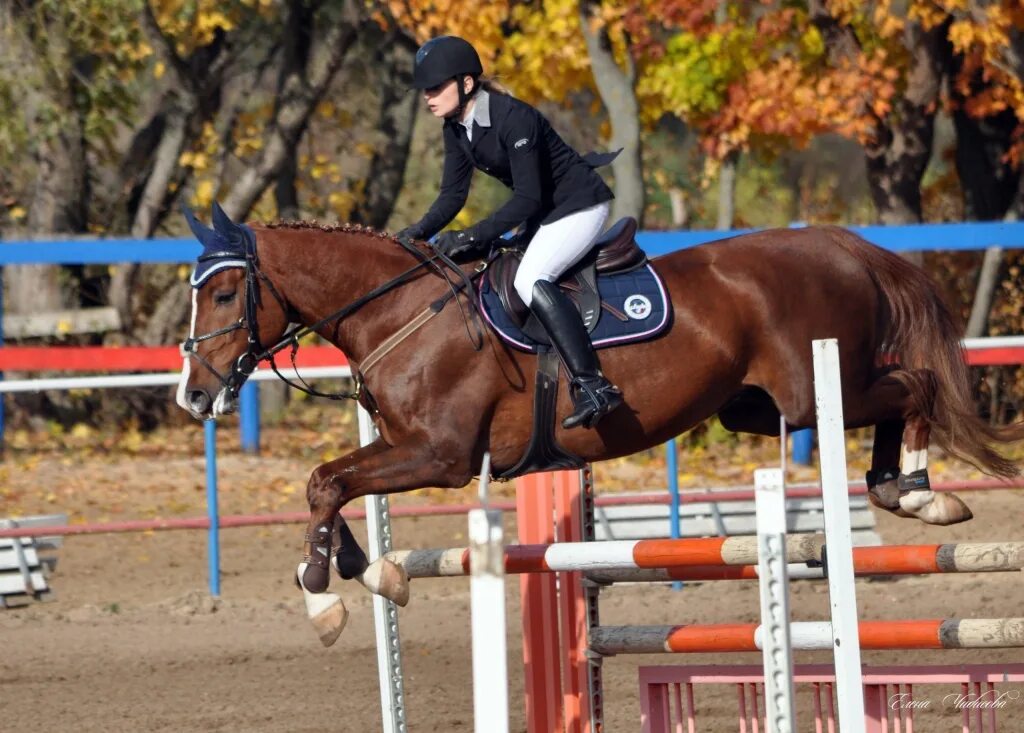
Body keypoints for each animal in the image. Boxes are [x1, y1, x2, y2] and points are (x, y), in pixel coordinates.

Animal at [178, 203, 1024, 642]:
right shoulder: (404, 447)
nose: (193, 394)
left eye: (221, 294)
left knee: (914, 384)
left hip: (815, 392)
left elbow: (325, 482)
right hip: (757, 408)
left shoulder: (439, 454)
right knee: (895, 398)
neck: (401, 310)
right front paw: (370, 570)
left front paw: (324, 597)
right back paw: (901, 488)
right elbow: (328, 483)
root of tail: (842, 242)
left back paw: (921, 489)